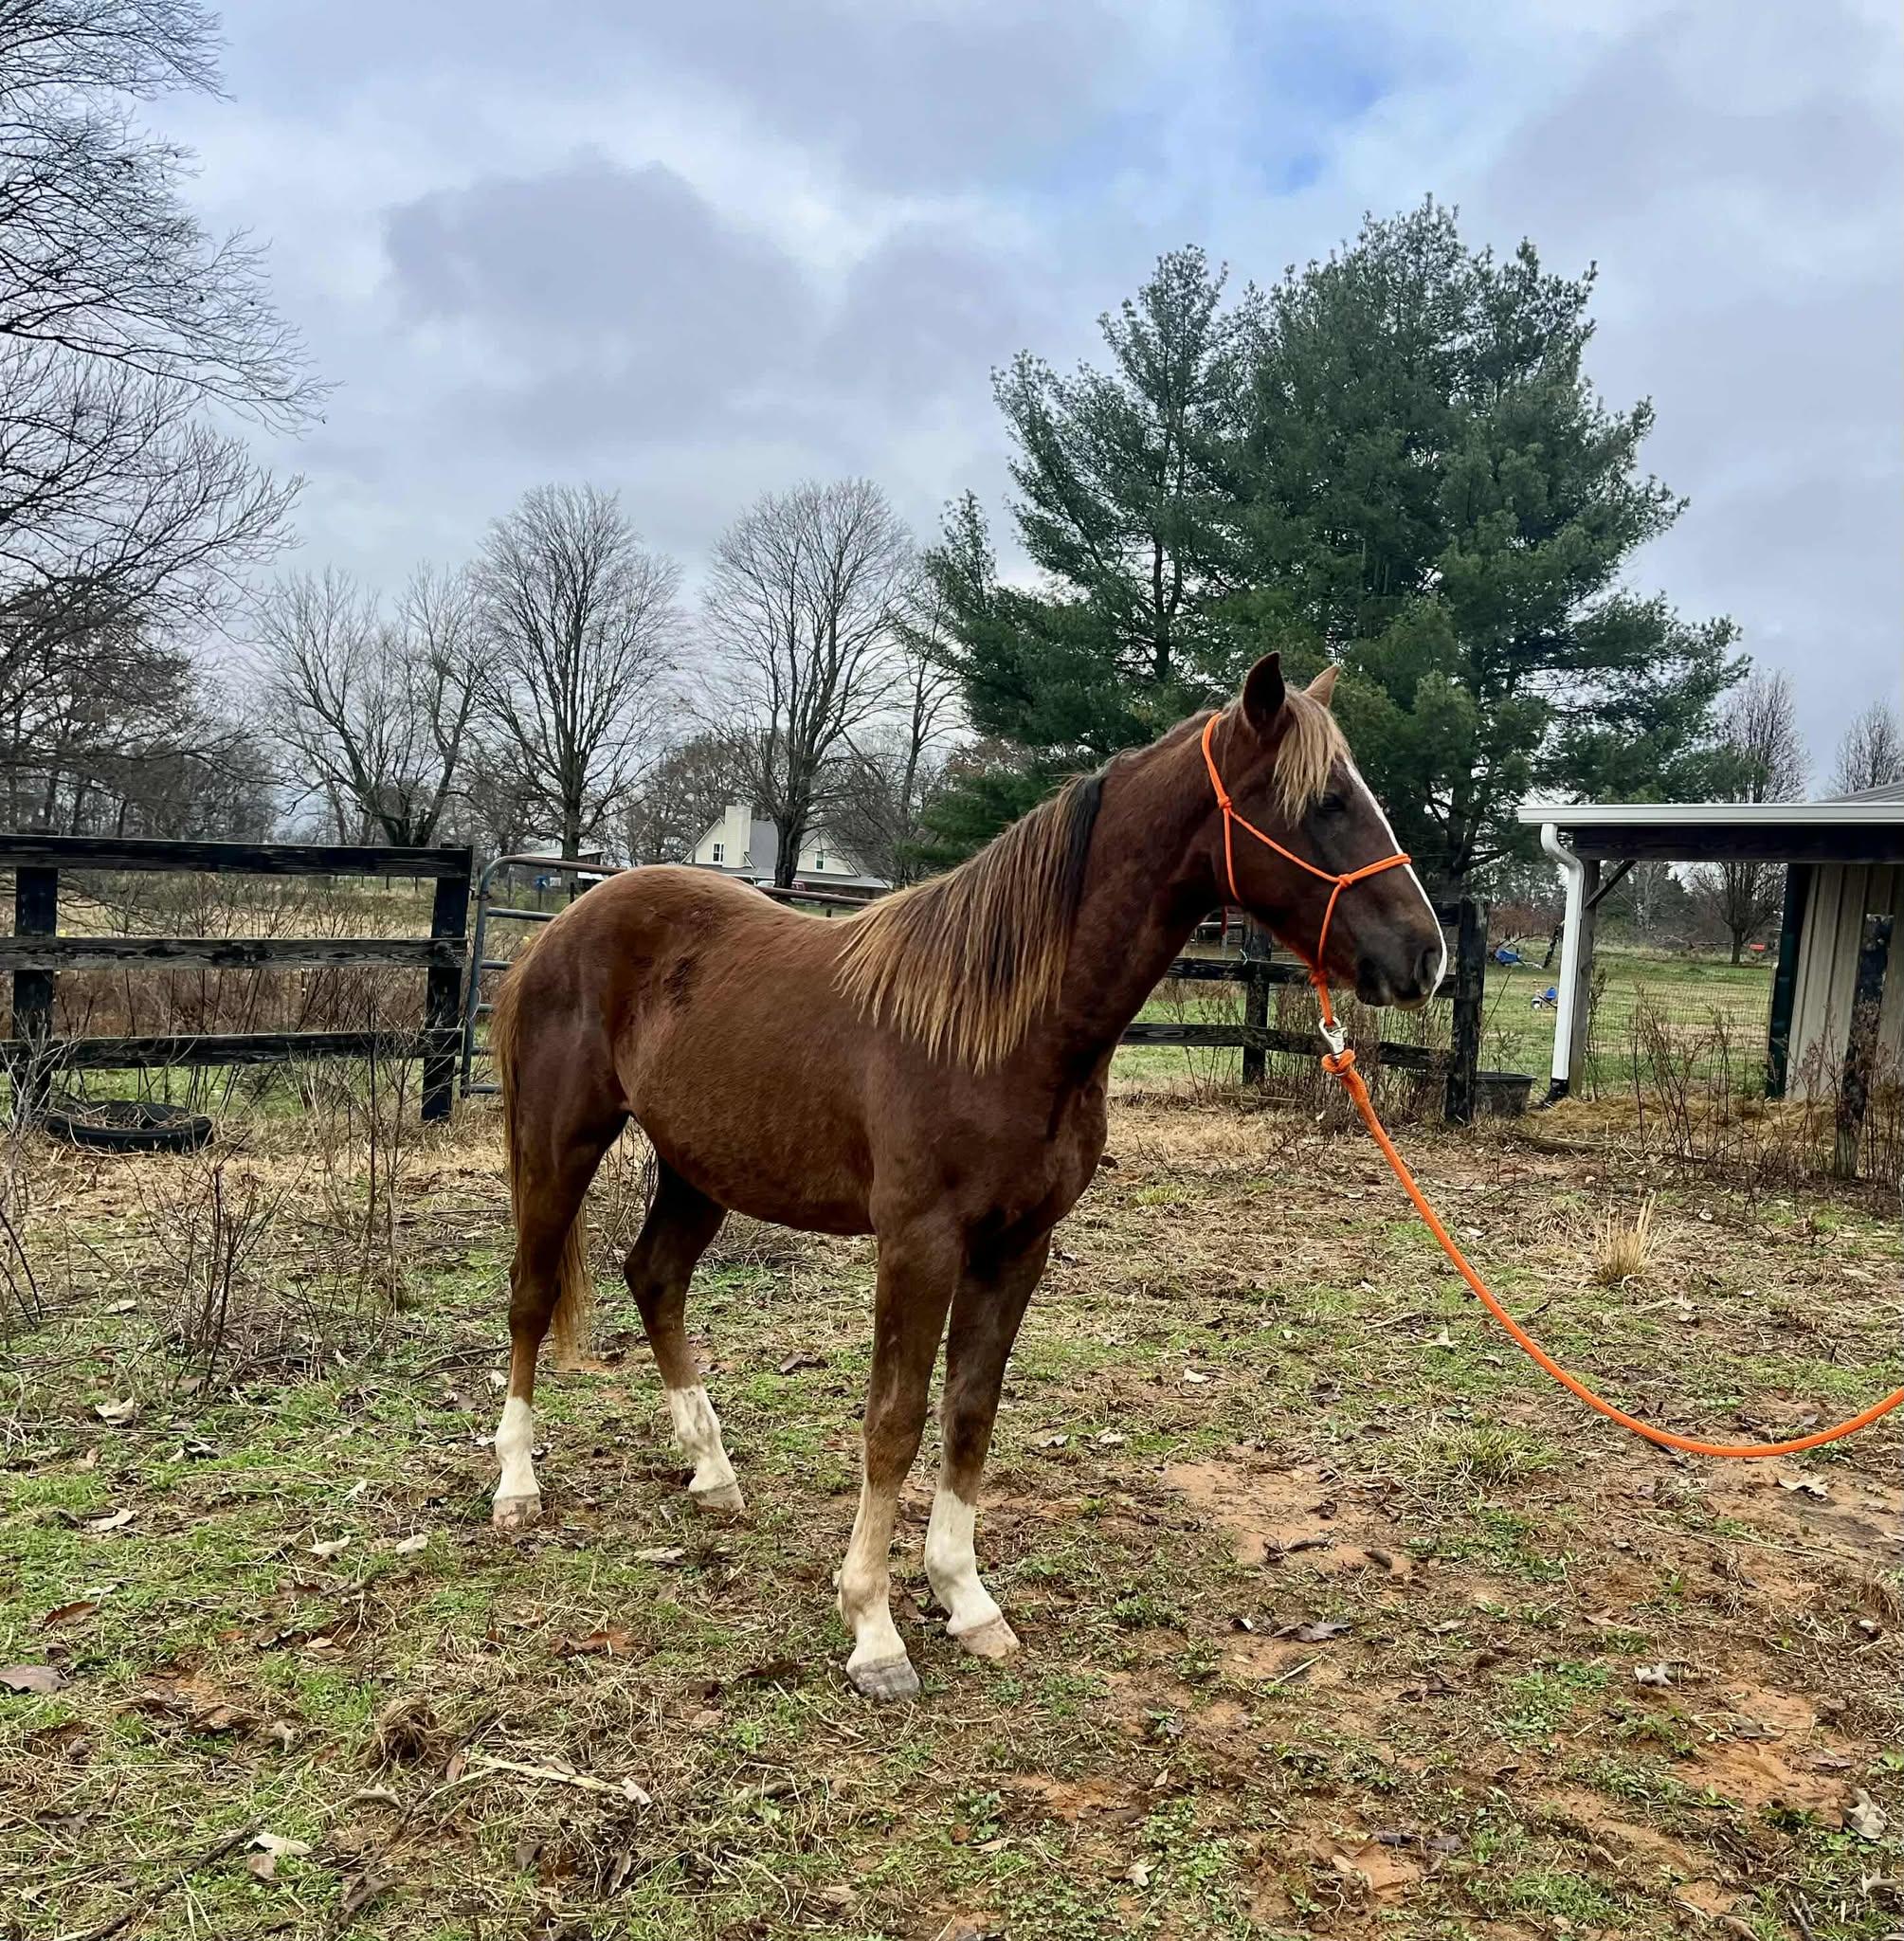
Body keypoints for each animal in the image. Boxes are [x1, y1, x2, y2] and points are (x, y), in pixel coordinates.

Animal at [486, 653, 1445, 1699]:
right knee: (532, 1295)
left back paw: (713, 1471)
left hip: (699, 1167)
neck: (1003, 1024)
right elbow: (895, 1419)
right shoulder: (919, 1244)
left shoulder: (1018, 1244)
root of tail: (561, 926)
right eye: (1321, 802)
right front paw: (872, 1628)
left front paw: (965, 1598)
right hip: (560, 1145)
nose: (1424, 955)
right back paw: (516, 1486)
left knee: (654, 1277)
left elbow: (969, 1413)